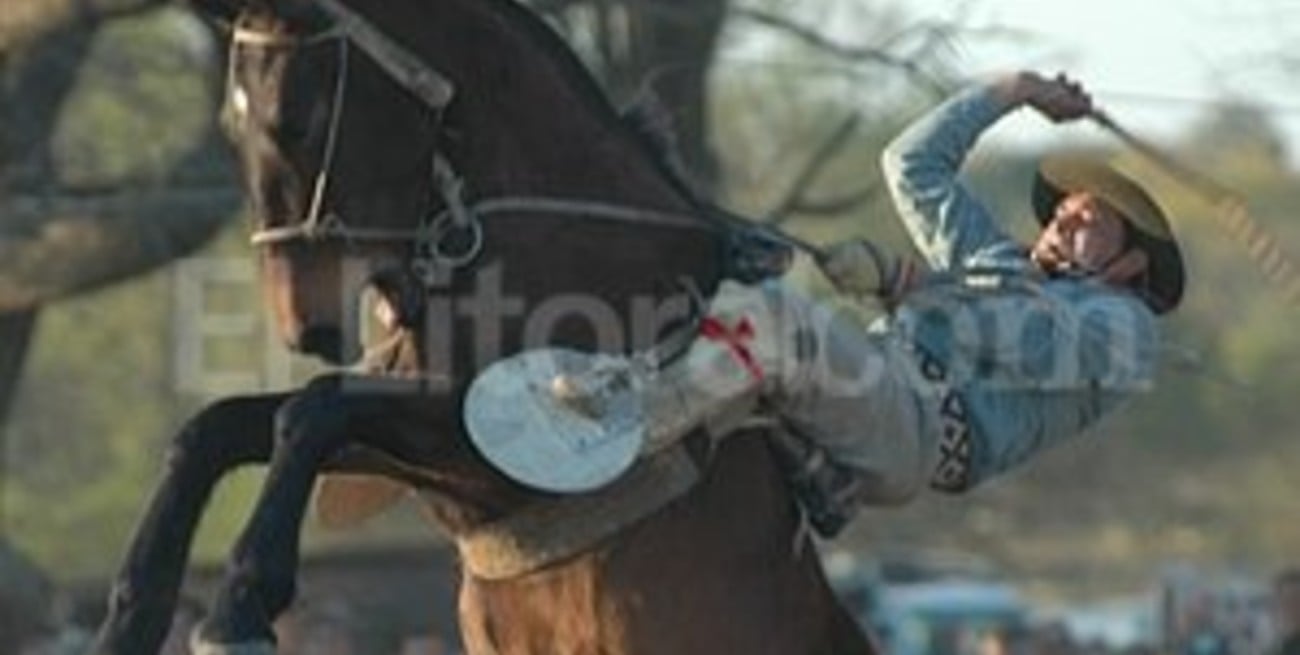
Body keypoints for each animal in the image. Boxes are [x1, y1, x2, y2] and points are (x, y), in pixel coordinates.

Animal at [89, 0, 875, 653]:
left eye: (297, 120)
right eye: (231, 127)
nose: (302, 327)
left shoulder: (498, 444)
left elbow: (313, 409)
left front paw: (239, 605)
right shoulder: (420, 444)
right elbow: (213, 430)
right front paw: (133, 615)